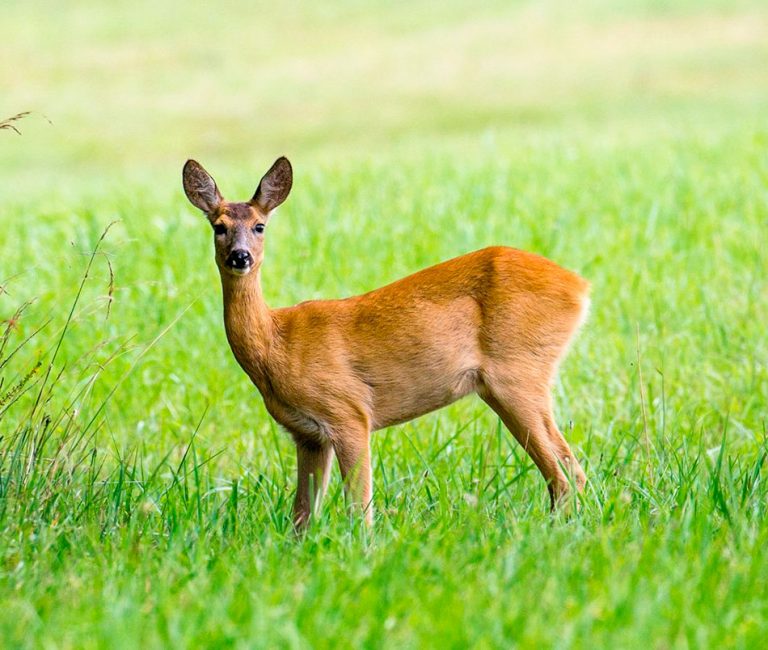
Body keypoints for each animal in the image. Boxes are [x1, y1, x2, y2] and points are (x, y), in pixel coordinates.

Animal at [183, 158, 592, 532]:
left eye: (260, 225)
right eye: (219, 227)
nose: (240, 256)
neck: (276, 345)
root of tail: (580, 287)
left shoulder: (348, 411)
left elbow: (358, 506)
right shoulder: (307, 434)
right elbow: (303, 515)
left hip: (516, 373)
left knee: (566, 472)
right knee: (568, 468)